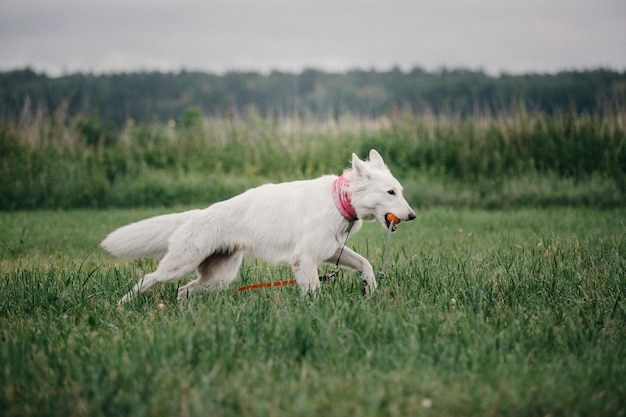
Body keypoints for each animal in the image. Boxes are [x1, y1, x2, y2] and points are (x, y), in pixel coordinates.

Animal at [102, 150, 414, 302]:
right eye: (390, 193)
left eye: (399, 190)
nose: (412, 216)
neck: (340, 199)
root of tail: (198, 214)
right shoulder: (305, 259)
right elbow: (314, 290)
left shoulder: (328, 251)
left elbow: (365, 263)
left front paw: (370, 287)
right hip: (179, 265)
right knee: (148, 279)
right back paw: (123, 304)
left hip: (218, 277)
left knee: (183, 291)